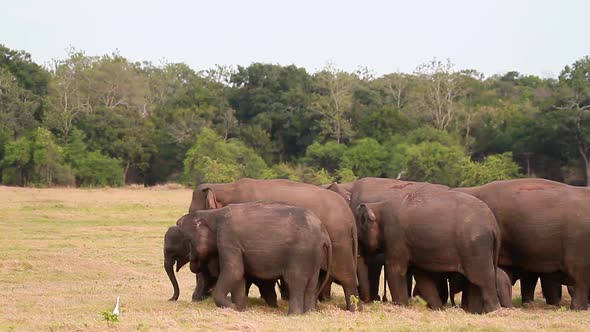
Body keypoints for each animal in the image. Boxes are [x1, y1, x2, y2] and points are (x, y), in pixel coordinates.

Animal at [170, 202, 332, 314]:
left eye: (184, 241)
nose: (171, 299)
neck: (212, 214)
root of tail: (324, 233)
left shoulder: (228, 237)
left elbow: (234, 271)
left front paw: (231, 307)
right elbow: (239, 275)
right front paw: (239, 309)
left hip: (300, 253)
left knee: (295, 280)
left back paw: (293, 315)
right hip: (314, 255)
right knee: (312, 282)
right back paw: (308, 313)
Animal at [192, 179, 364, 312]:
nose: (195, 299)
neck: (225, 187)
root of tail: (350, 216)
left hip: (339, 242)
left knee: (346, 276)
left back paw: (354, 309)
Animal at [356, 187, 504, 314]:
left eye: (357, 237)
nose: (367, 303)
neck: (377, 206)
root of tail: (494, 225)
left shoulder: (395, 237)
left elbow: (396, 269)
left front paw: (401, 306)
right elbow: (421, 275)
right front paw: (439, 309)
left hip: (475, 247)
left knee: (482, 278)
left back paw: (494, 311)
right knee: (475, 282)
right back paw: (475, 312)